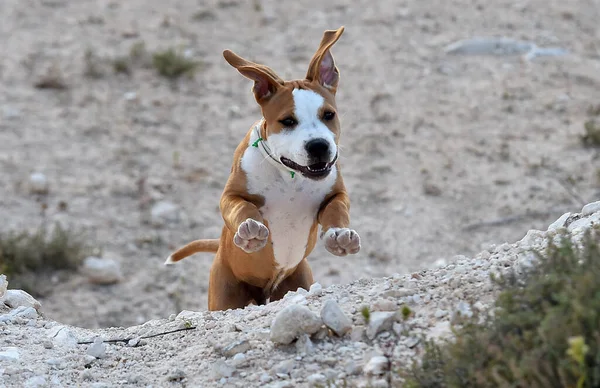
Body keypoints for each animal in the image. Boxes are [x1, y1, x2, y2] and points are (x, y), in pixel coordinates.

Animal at [165, 27, 360, 310]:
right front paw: (250, 230)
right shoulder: (231, 195)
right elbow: (241, 207)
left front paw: (339, 234)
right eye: (287, 121)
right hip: (226, 292)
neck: (291, 177)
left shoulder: (336, 193)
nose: (319, 146)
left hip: (296, 279)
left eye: (328, 115)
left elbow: (337, 208)